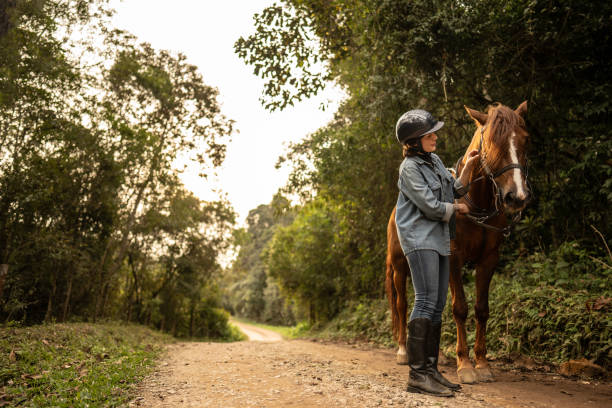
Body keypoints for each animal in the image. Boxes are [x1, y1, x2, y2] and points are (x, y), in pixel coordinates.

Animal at [388, 101, 532, 382]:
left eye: (524, 139)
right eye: (492, 142)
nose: (517, 197)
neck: (475, 203)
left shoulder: (488, 260)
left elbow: (481, 309)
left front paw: (482, 364)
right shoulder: (454, 260)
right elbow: (460, 309)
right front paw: (465, 366)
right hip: (400, 267)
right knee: (401, 304)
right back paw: (402, 351)